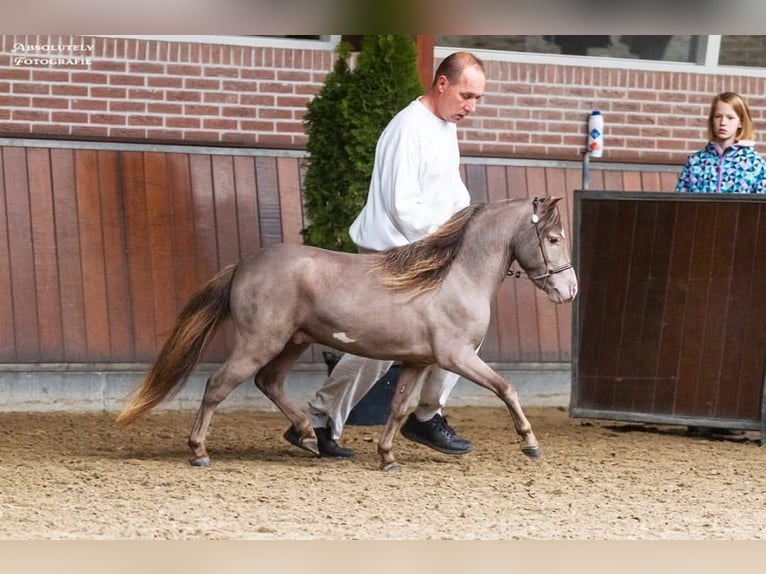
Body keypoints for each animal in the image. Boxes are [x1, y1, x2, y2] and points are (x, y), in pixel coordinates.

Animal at [117, 196, 580, 470]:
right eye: (554, 238)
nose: (570, 290)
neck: (453, 276)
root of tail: (244, 266)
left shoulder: (417, 361)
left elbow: (398, 407)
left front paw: (388, 456)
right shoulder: (458, 357)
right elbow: (506, 388)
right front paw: (530, 443)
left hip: (292, 342)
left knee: (269, 383)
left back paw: (310, 437)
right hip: (260, 342)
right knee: (217, 385)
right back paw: (199, 451)